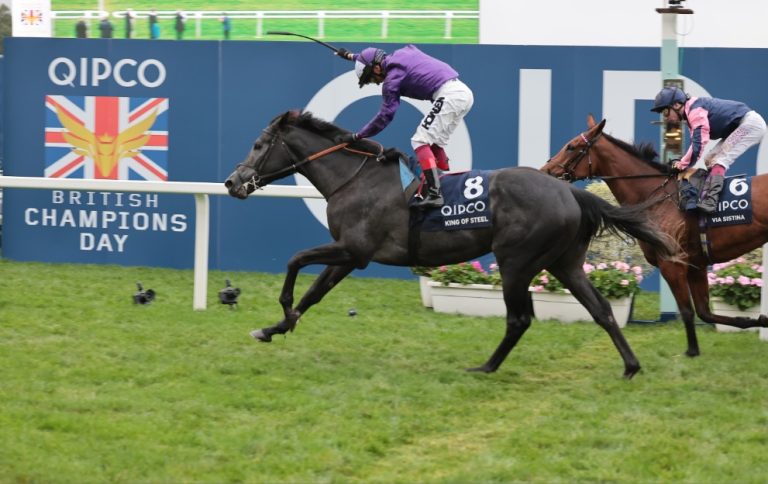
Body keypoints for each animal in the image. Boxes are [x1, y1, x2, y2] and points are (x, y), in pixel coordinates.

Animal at [225, 110, 676, 378]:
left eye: (259, 145)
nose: (232, 182)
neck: (354, 179)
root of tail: (570, 192)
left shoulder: (355, 250)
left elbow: (295, 260)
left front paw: (283, 311)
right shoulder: (351, 255)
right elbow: (315, 292)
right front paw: (275, 328)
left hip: (516, 261)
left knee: (519, 319)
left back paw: (486, 367)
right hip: (564, 263)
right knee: (601, 310)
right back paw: (630, 365)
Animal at [540, 112, 768, 356]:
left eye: (571, 147)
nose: (545, 172)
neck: (654, 195)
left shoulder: (672, 263)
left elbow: (687, 311)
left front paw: (691, 351)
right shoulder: (696, 265)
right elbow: (705, 312)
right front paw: (757, 320)